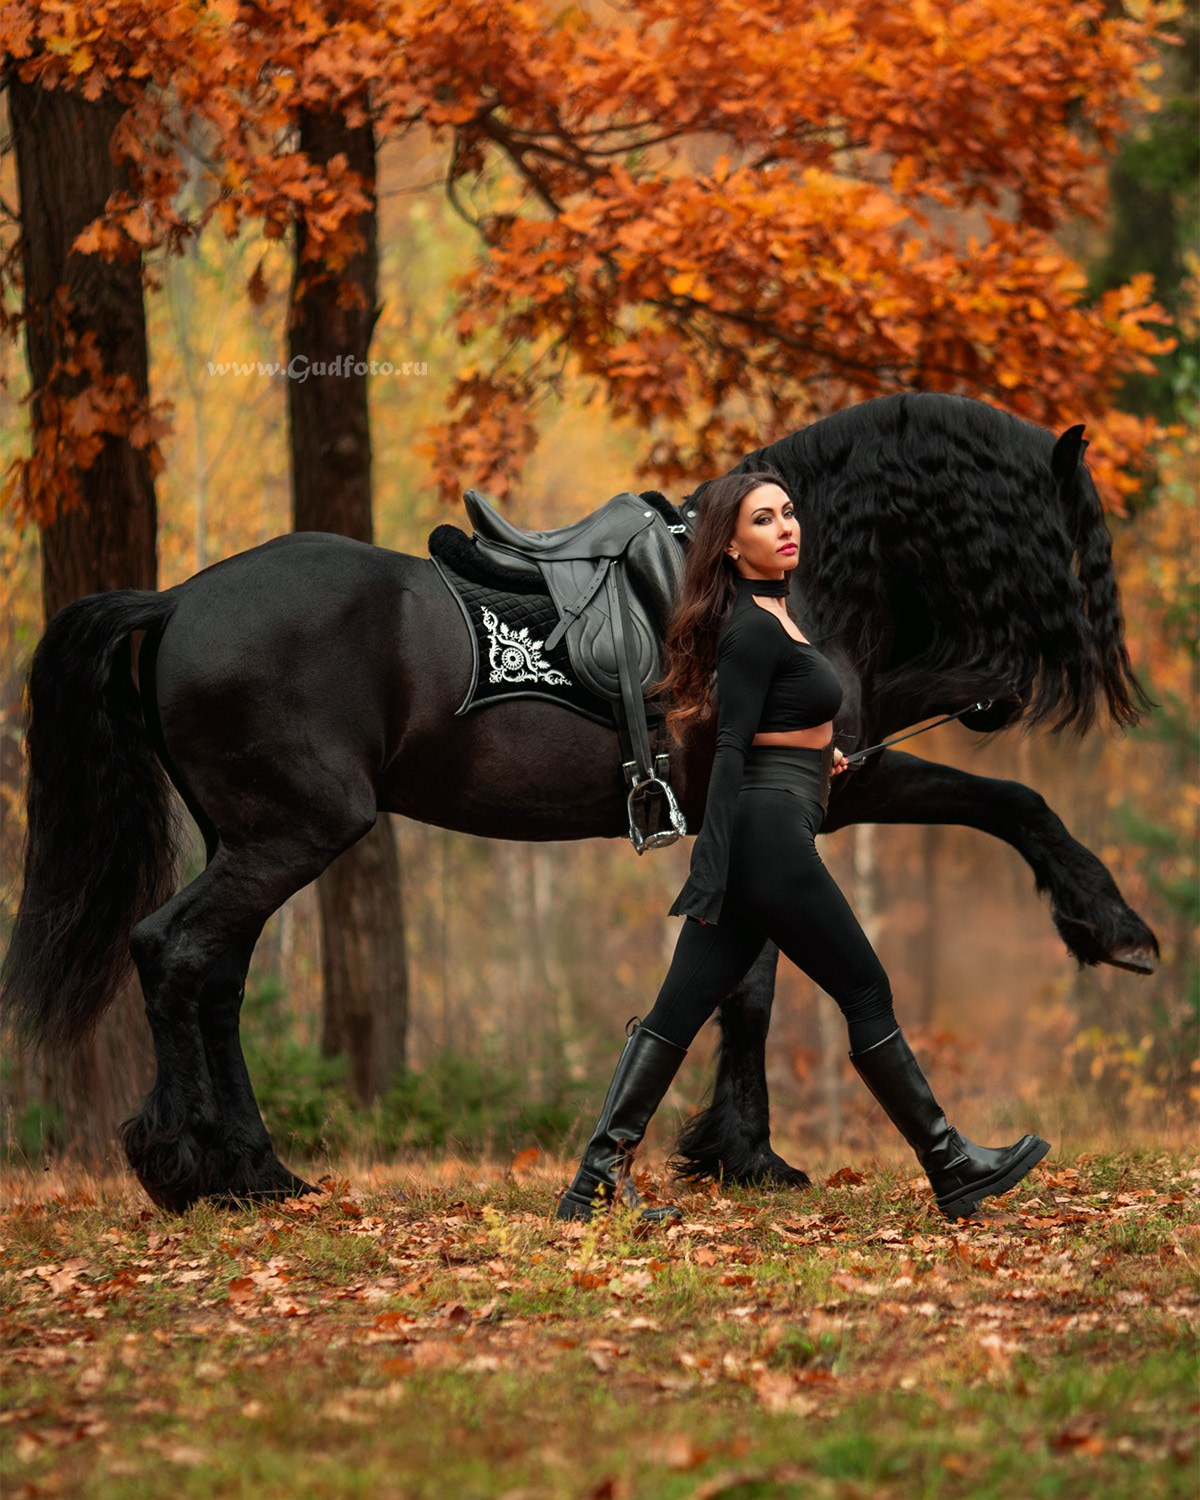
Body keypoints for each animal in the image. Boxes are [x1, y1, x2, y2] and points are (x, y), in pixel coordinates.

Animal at [1, 392, 1157, 1211]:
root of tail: (176, 600)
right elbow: (1008, 803)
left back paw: (253, 1170)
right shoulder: (830, 786)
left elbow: (744, 986)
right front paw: (1110, 924)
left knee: (216, 978)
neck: (780, 582)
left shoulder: (790, 805)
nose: (1001, 694)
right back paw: (186, 1167)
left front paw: (739, 1154)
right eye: (1075, 536)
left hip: (250, 840)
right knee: (175, 953)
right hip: (295, 832)